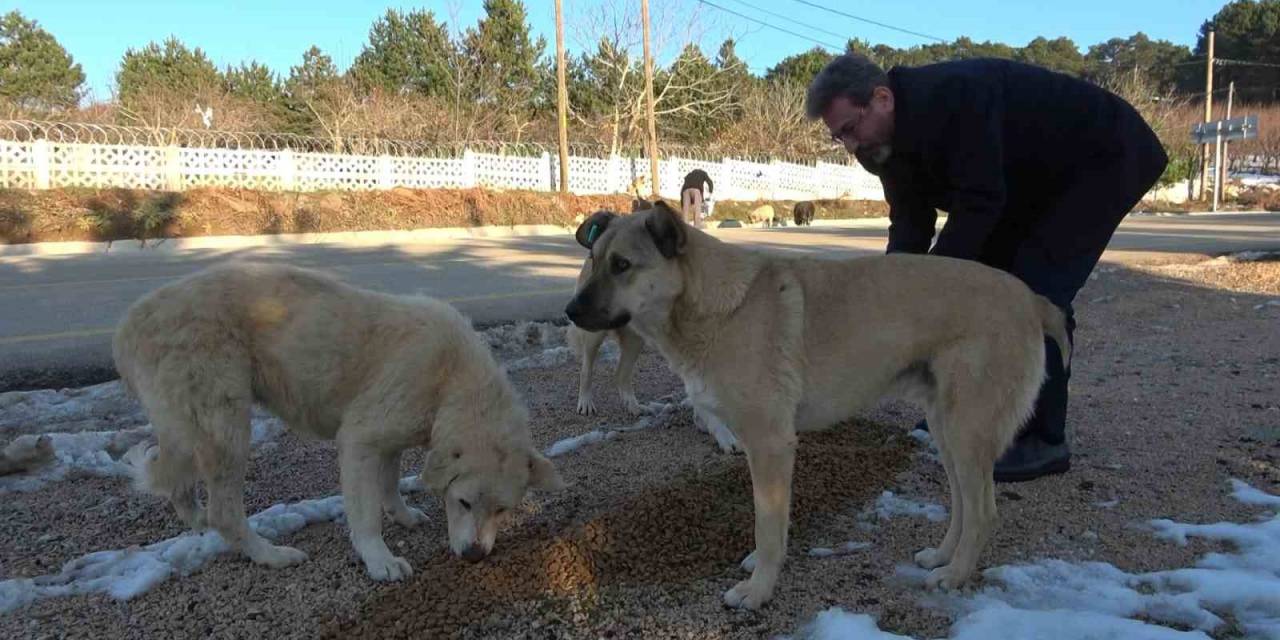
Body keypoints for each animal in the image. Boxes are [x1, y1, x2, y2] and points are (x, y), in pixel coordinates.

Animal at [112, 262, 563, 583]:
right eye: (464, 502)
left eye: (503, 510)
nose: (474, 557)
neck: (451, 380)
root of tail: (128, 322)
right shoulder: (359, 440)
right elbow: (365, 515)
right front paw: (380, 560)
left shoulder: (390, 438)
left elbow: (389, 484)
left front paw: (403, 515)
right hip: (227, 429)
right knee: (224, 511)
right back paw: (271, 555)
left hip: (193, 430)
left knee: (182, 488)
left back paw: (199, 523)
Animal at [565, 202, 1064, 606]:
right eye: (592, 261)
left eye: (622, 265)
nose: (569, 311)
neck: (713, 304)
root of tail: (1031, 299)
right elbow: (770, 524)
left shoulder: (770, 446)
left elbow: (767, 526)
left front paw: (759, 590)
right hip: (948, 432)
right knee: (962, 504)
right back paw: (942, 558)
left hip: (966, 433)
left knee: (983, 512)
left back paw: (956, 575)